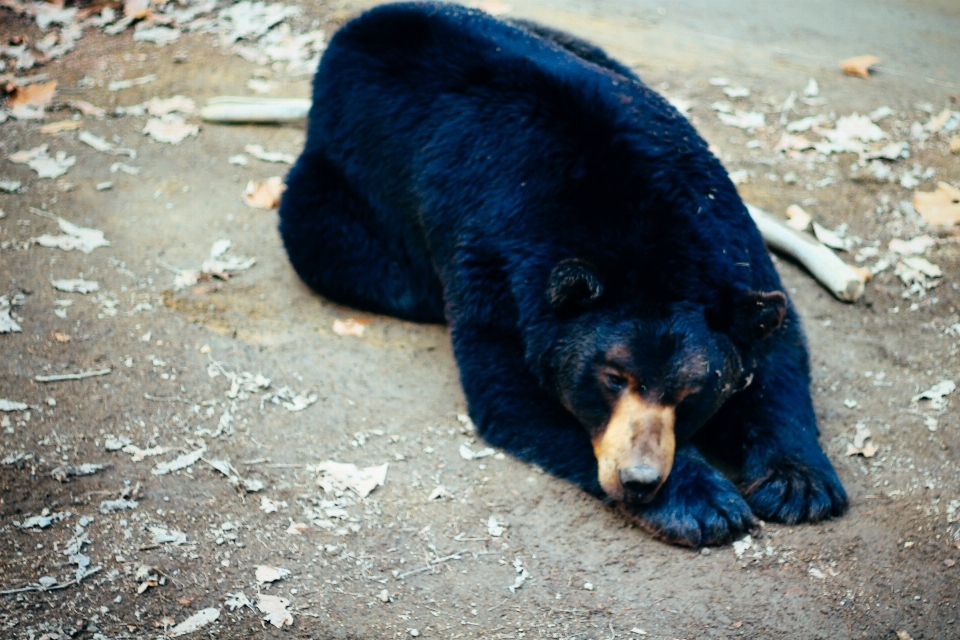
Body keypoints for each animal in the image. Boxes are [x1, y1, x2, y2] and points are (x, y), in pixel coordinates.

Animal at [280, 2, 848, 548]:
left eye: (691, 394)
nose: (640, 480)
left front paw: (798, 482)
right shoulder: (496, 258)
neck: (641, 228)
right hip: (342, 196)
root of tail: (355, 26)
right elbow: (512, 388)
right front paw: (701, 501)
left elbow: (776, 346)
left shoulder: (727, 234)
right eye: (613, 378)